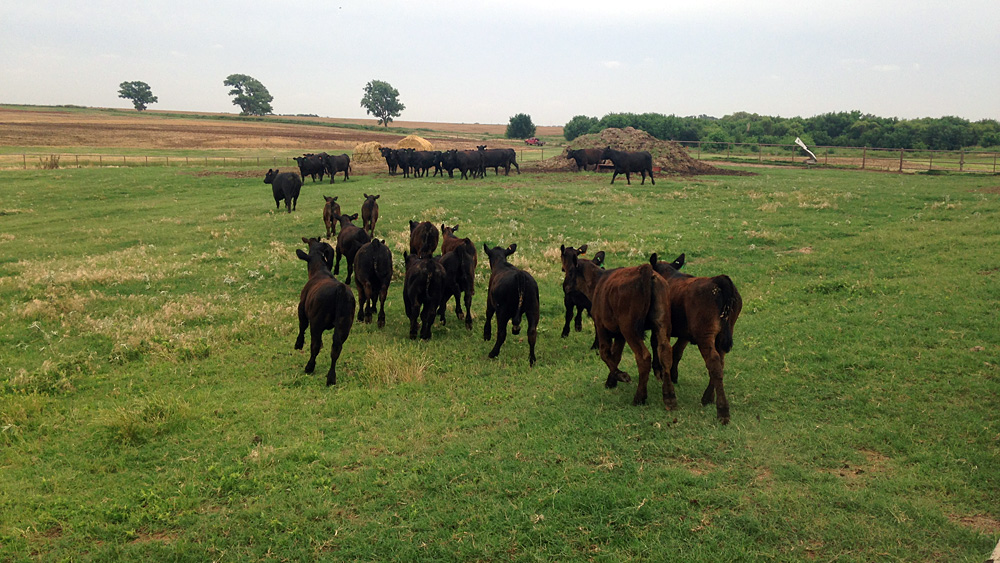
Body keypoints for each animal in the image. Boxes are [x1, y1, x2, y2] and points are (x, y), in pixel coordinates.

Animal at [294, 237, 355, 386]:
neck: (319, 271)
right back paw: (331, 377)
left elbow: (302, 326)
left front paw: (298, 344)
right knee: (336, 348)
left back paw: (309, 367)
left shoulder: (302, 309)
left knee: (315, 345)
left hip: (317, 322)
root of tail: (340, 289)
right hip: (345, 324)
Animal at [649, 252, 742, 424]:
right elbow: (676, 351)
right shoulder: (685, 333)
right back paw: (708, 397)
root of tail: (718, 281)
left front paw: (659, 371)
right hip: (721, 336)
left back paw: (722, 411)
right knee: (720, 363)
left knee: (714, 363)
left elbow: (658, 346)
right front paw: (673, 375)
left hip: (705, 335)